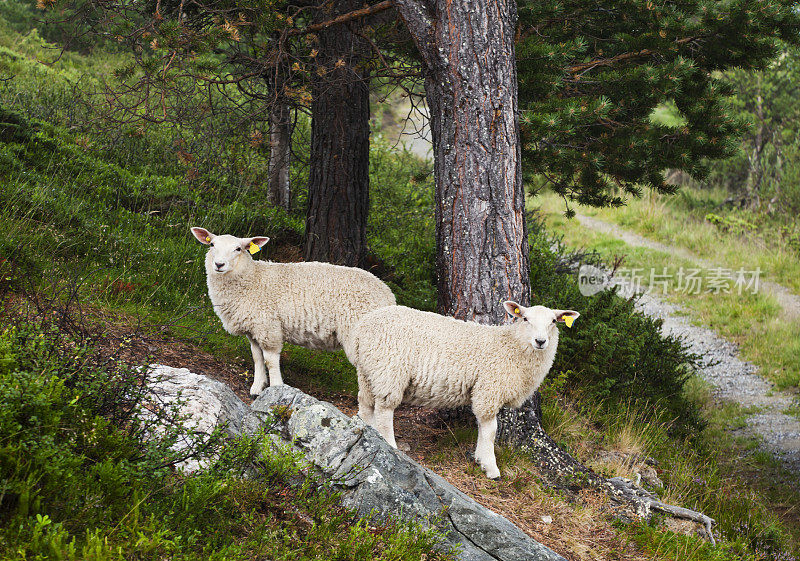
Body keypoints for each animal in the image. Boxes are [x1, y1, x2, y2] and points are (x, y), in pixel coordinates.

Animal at [191, 225, 396, 396]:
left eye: (238, 249)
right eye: (212, 245)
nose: (219, 264)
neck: (252, 279)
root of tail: (388, 295)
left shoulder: (269, 327)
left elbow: (270, 360)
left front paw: (276, 388)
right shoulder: (254, 328)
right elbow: (257, 358)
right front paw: (257, 387)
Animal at [346, 300, 580, 480]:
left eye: (553, 321)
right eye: (525, 319)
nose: (541, 341)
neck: (511, 345)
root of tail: (361, 328)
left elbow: (484, 429)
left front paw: (479, 459)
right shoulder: (489, 388)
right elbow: (490, 430)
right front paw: (490, 467)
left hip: (369, 370)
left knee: (365, 404)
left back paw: (369, 430)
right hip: (389, 370)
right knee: (385, 411)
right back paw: (390, 444)